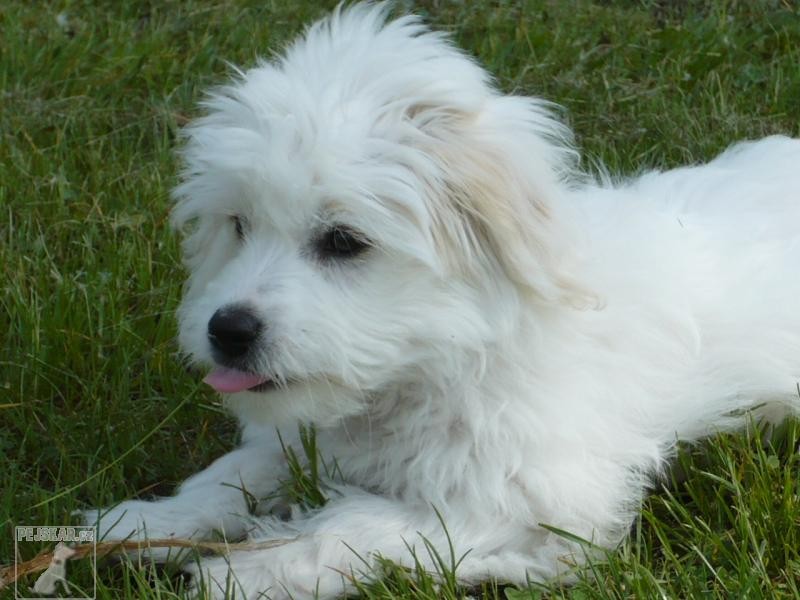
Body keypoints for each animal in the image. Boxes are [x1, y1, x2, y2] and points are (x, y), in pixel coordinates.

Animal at [83, 2, 800, 596]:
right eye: (238, 224)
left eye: (343, 241)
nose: (228, 330)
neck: (437, 361)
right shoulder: (303, 432)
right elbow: (236, 474)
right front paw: (137, 525)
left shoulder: (536, 501)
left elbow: (356, 527)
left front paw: (248, 571)